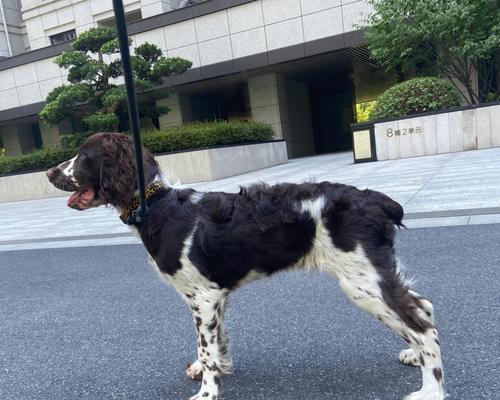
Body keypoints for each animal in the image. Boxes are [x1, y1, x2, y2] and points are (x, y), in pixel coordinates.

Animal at [47, 134, 446, 400]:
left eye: (83, 156)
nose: (49, 172)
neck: (157, 205)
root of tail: (375, 199)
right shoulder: (215, 295)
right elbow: (213, 343)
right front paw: (212, 369)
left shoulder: (203, 296)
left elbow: (207, 348)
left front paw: (207, 392)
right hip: (371, 273)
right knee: (422, 306)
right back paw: (414, 355)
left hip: (361, 281)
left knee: (422, 326)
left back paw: (430, 389)